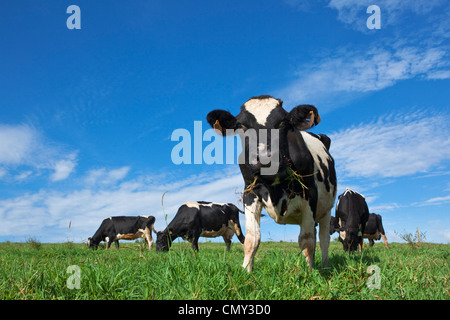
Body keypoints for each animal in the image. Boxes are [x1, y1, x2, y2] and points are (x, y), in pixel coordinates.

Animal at [206, 95, 336, 270]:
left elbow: (307, 240)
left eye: (283, 122)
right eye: (241, 126)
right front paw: (246, 271)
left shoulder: (309, 193)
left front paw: (309, 272)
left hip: (326, 209)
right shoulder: (250, 193)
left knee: (323, 239)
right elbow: (252, 240)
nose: (264, 158)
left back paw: (324, 265)